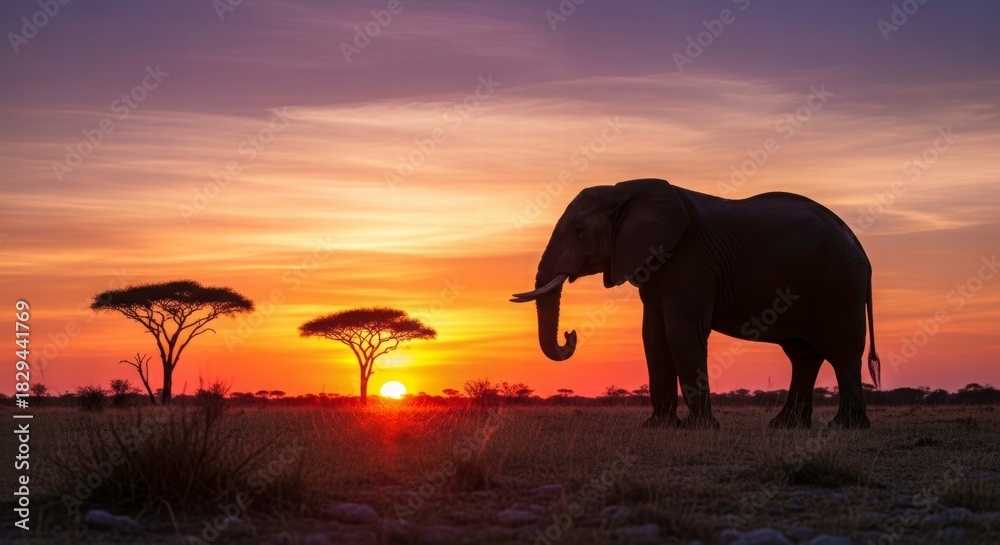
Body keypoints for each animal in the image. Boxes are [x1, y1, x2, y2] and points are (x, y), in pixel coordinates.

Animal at [511, 179, 879, 429]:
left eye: (578, 230)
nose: (570, 335)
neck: (626, 190)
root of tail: (859, 245)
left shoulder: (690, 259)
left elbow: (681, 330)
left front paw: (699, 428)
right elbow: (653, 335)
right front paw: (658, 427)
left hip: (839, 285)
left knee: (842, 352)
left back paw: (844, 427)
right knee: (803, 354)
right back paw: (785, 426)